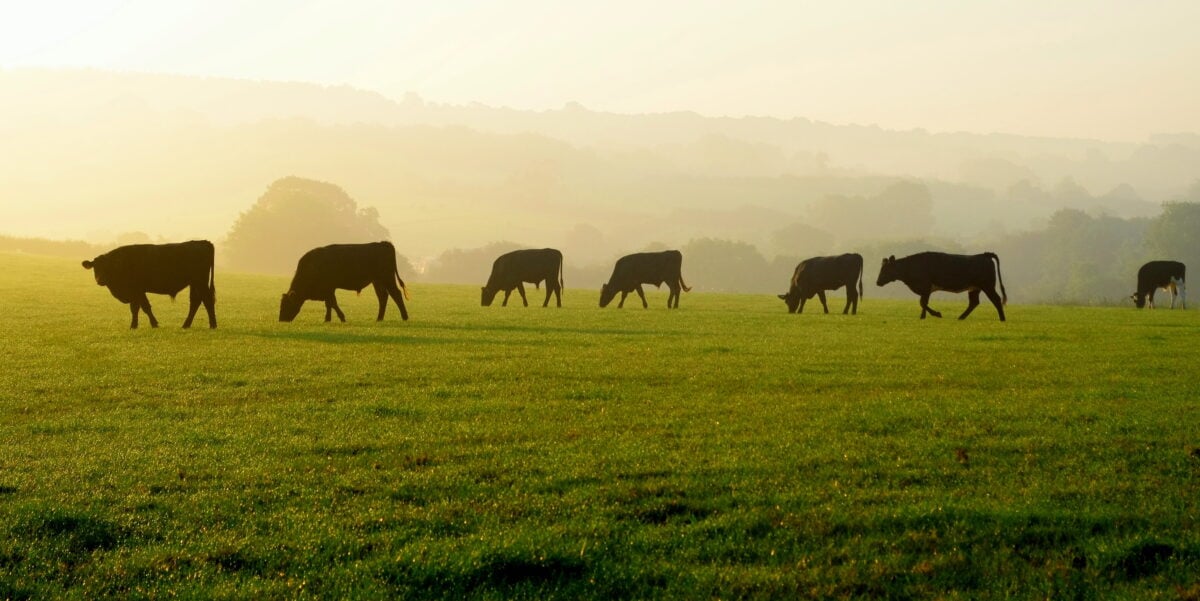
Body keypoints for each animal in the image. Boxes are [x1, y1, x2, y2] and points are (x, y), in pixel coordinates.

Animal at [80, 238, 218, 328]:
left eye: (107, 267)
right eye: (95, 267)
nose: (100, 280)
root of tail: (203, 242)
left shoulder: (137, 290)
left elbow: (141, 307)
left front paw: (140, 325)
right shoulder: (138, 292)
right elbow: (140, 307)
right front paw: (143, 324)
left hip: (200, 282)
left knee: (207, 300)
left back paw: (212, 325)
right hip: (194, 283)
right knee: (196, 301)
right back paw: (186, 325)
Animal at [278, 239, 410, 323]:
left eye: (286, 304)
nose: (281, 320)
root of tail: (383, 243)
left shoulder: (329, 288)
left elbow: (332, 303)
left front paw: (341, 318)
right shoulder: (328, 290)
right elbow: (329, 304)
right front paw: (328, 319)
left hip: (387, 278)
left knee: (396, 294)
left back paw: (405, 317)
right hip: (377, 281)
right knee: (383, 297)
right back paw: (379, 318)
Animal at [878, 250, 1008, 321]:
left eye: (885, 269)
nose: (877, 282)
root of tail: (984, 255)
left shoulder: (926, 287)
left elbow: (922, 303)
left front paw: (936, 314)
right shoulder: (926, 290)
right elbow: (923, 303)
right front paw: (922, 317)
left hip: (988, 286)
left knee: (996, 300)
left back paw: (1002, 319)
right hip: (974, 288)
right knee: (974, 302)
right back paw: (961, 317)